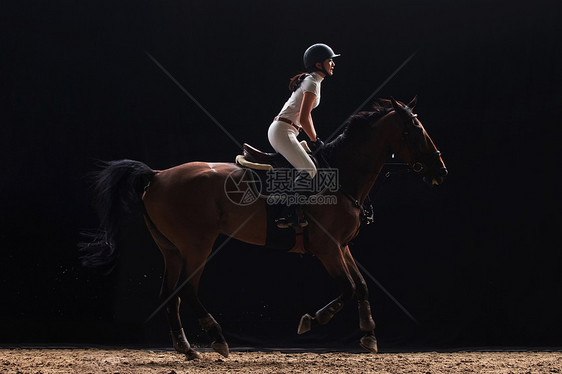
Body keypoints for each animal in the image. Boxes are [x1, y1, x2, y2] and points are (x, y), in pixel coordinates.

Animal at [80, 96, 446, 360]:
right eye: (416, 131)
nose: (440, 171)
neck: (342, 175)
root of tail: (156, 175)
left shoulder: (342, 246)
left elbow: (361, 287)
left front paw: (369, 335)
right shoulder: (327, 248)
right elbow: (346, 289)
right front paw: (312, 321)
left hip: (172, 249)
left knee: (171, 294)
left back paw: (186, 348)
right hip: (196, 245)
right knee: (187, 290)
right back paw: (217, 338)